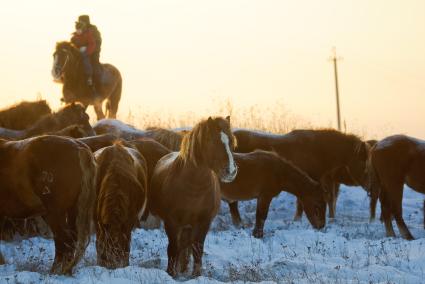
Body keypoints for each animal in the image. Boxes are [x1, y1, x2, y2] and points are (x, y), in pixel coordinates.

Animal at [0, 136, 95, 274]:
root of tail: (78, 147)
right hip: (72, 211)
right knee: (69, 241)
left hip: (54, 214)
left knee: (64, 242)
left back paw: (56, 271)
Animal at [148, 116, 235, 278]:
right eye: (212, 141)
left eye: (232, 141)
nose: (231, 171)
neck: (194, 188)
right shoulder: (172, 222)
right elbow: (173, 248)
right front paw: (171, 274)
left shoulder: (204, 222)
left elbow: (197, 249)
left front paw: (196, 274)